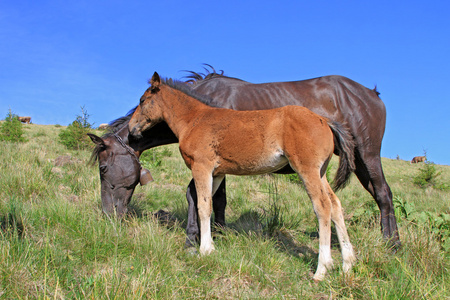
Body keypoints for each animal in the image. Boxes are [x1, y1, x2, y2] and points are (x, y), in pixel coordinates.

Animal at [128, 72, 356, 282]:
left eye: (142, 100)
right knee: (336, 205)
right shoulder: (217, 173)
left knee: (322, 207)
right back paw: (347, 264)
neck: (194, 119)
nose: (131, 129)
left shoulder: (202, 167)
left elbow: (203, 206)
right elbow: (209, 203)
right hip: (321, 172)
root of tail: (324, 120)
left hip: (307, 170)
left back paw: (322, 269)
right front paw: (209, 244)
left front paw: (205, 250)